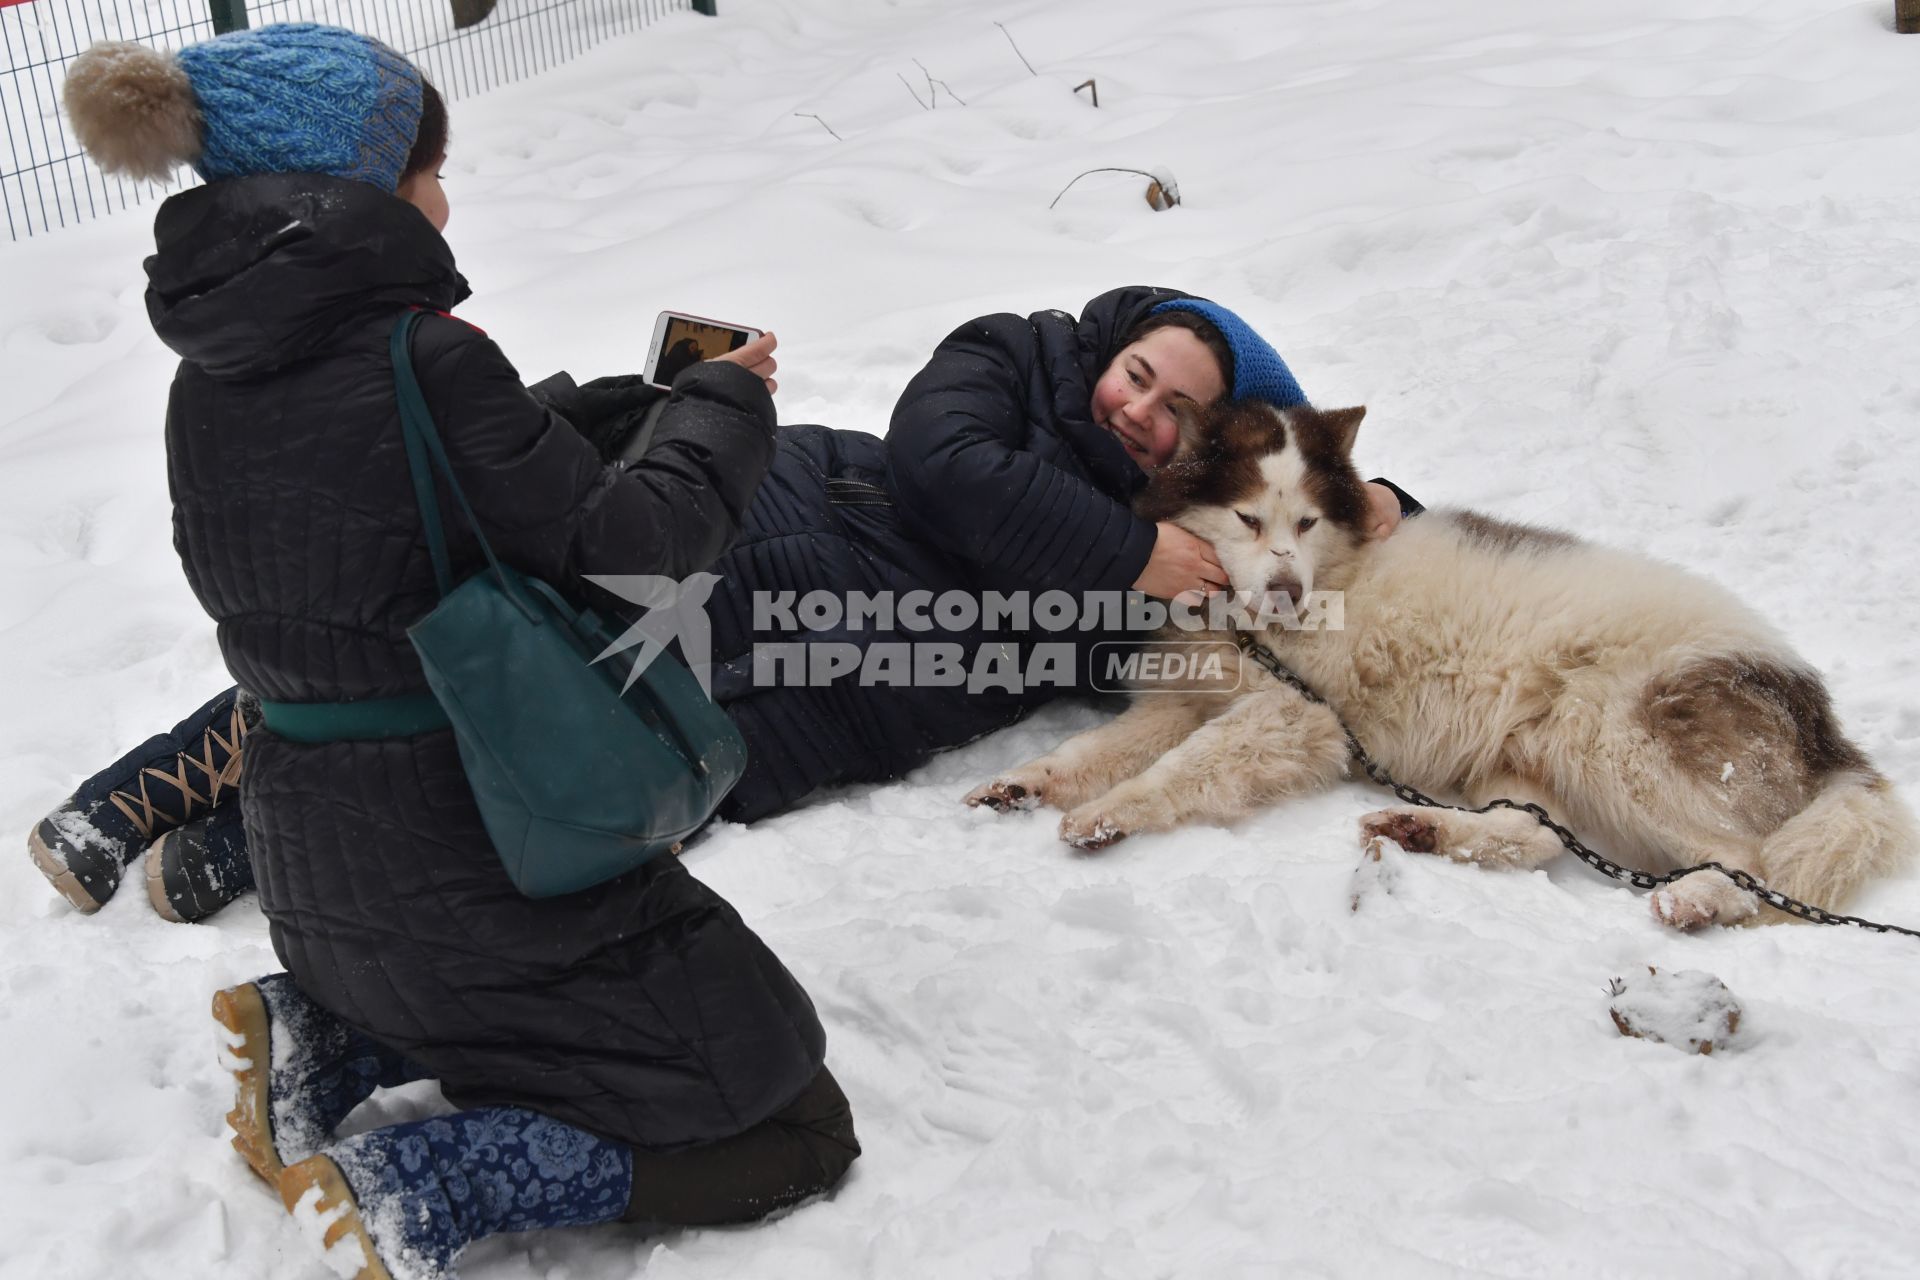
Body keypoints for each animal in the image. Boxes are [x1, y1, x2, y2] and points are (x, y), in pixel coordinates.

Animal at [967, 402, 1912, 932]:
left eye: (1307, 522)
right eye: (1246, 517)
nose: (1285, 592)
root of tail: (1818, 719)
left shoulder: (1294, 716)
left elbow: (1181, 766)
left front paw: (1112, 813)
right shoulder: (1183, 699)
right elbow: (1097, 751)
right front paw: (1025, 783)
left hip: (1616, 743)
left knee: (1749, 862)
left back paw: (1699, 902)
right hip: (1529, 753)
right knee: (1536, 836)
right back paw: (1419, 829)